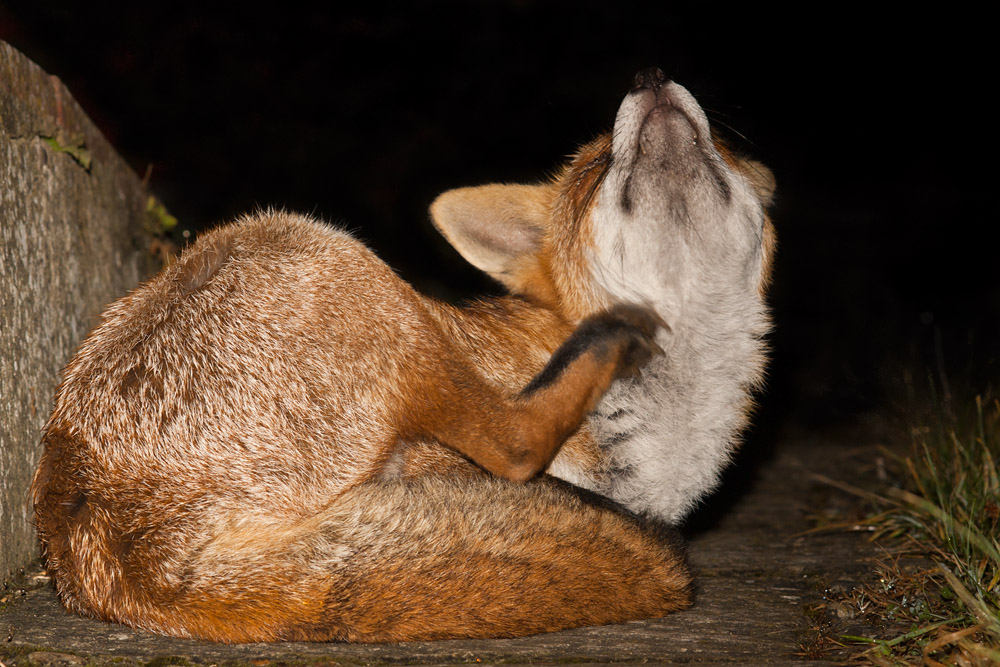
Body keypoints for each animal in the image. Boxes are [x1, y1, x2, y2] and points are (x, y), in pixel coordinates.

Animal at [31, 68, 776, 643]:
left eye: (725, 148)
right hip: (345, 267)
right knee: (514, 445)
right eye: (595, 170)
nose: (650, 79)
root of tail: (114, 547)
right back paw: (600, 351)